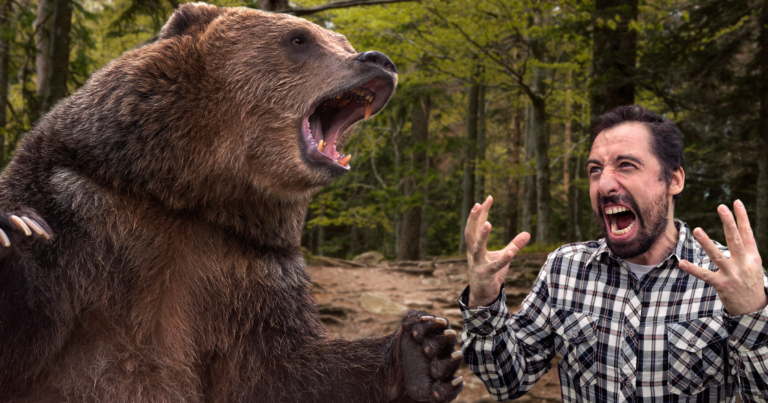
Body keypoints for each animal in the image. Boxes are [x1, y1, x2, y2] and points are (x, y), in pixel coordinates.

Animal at [0, 3, 462, 403]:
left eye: (344, 42)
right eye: (299, 39)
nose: (380, 60)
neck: (192, 195)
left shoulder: (251, 270)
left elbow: (286, 370)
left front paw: (425, 351)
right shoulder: (79, 204)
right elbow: (30, 338)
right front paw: (13, 230)